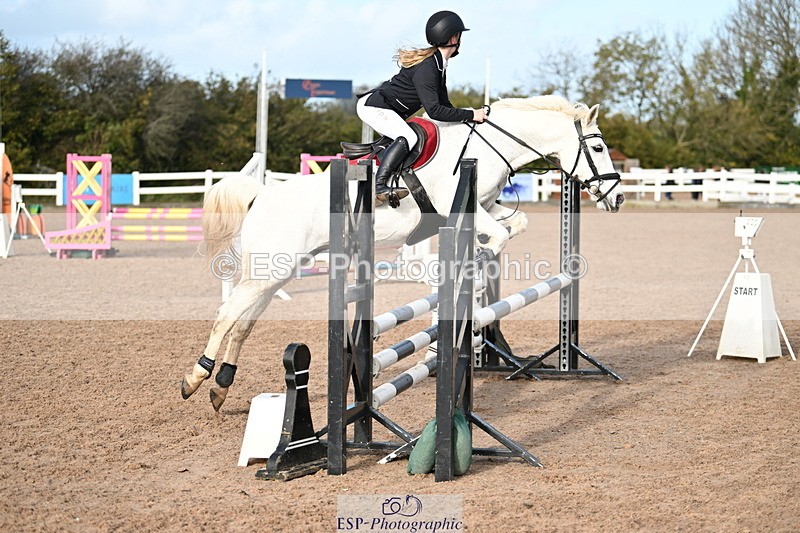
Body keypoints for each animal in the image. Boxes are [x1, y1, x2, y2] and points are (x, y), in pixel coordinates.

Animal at [181, 95, 625, 411]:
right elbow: (499, 235)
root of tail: (261, 195)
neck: (490, 145)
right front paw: (476, 266)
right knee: (227, 314)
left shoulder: (486, 205)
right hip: (270, 271)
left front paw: (478, 264)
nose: (617, 198)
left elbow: (516, 226)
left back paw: (221, 387)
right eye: (598, 148)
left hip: (277, 273)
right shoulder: (460, 206)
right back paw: (195, 379)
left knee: (244, 321)